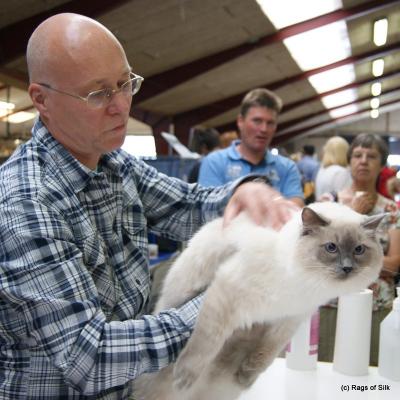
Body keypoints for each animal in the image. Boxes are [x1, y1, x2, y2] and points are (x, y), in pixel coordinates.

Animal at [134, 203, 384, 400]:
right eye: (331, 247)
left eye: (359, 250)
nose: (347, 268)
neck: (305, 286)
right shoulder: (229, 292)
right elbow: (205, 343)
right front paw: (184, 377)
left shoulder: (290, 319)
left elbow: (266, 354)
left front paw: (246, 376)